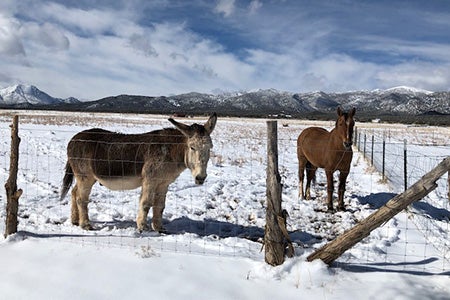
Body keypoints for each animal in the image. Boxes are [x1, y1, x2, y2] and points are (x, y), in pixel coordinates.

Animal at [60, 112, 218, 232]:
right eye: (192, 147)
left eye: (210, 148)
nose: (200, 178)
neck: (171, 152)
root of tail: (73, 139)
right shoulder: (150, 180)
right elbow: (146, 203)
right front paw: (143, 227)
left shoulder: (163, 183)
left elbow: (160, 206)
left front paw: (159, 228)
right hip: (85, 176)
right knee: (81, 199)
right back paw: (85, 225)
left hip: (86, 177)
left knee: (74, 192)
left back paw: (75, 220)